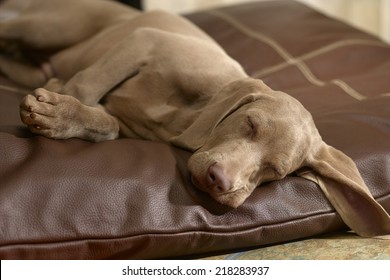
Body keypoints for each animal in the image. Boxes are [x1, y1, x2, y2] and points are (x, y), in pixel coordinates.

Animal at [0, 0, 388, 236]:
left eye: (275, 172)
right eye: (250, 124)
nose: (220, 182)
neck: (189, 114)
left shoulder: (123, 117)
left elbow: (105, 123)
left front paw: (60, 115)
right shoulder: (144, 40)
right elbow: (85, 85)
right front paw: (57, 111)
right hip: (51, 26)